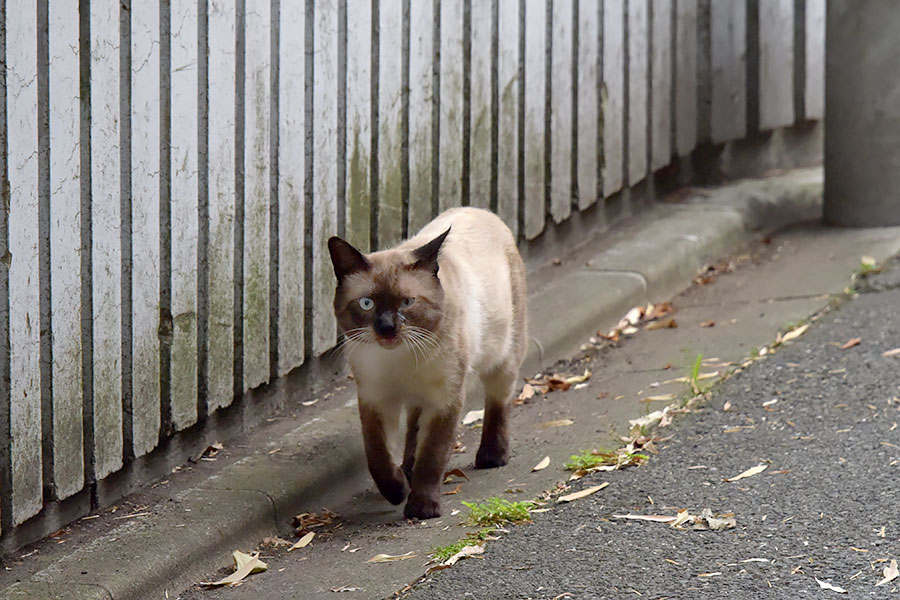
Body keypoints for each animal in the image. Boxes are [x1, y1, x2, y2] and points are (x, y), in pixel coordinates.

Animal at [328, 209, 528, 516]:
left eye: (407, 302)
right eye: (366, 304)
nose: (387, 328)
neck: (399, 358)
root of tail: (482, 211)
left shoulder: (445, 400)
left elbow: (433, 456)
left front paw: (421, 509)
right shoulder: (376, 399)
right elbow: (377, 456)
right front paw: (397, 491)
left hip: (502, 355)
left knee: (499, 400)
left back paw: (492, 457)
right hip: (417, 396)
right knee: (413, 425)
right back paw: (407, 470)